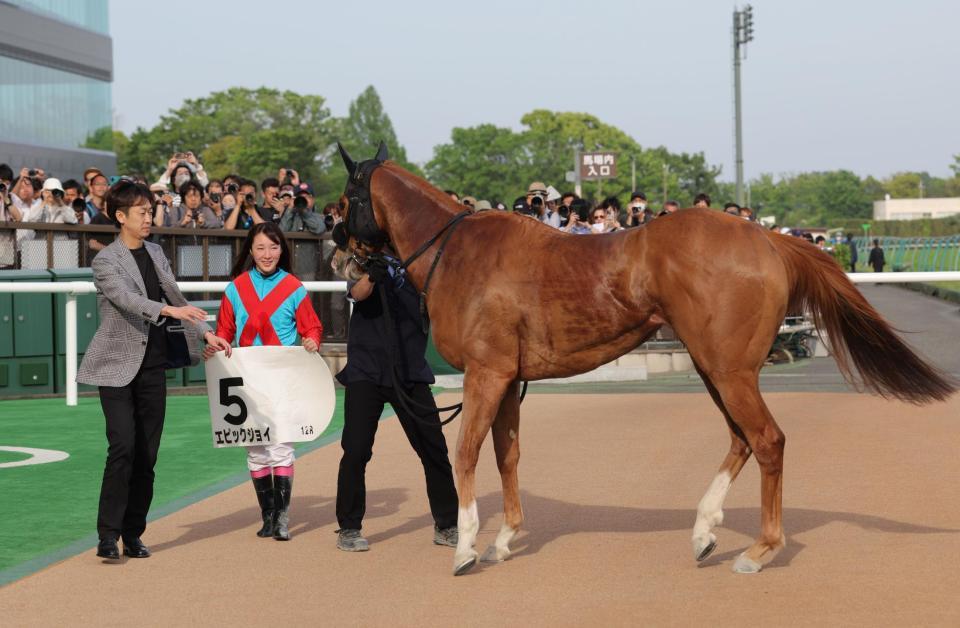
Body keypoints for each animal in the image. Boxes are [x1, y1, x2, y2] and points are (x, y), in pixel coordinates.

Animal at [330, 151, 952, 576]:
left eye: (344, 200)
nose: (340, 259)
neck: (458, 252)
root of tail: (769, 240)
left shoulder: (486, 375)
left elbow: (465, 453)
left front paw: (464, 547)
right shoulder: (507, 379)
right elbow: (507, 455)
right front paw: (505, 539)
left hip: (728, 370)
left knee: (767, 440)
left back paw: (758, 550)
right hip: (714, 366)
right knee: (742, 439)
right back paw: (703, 530)